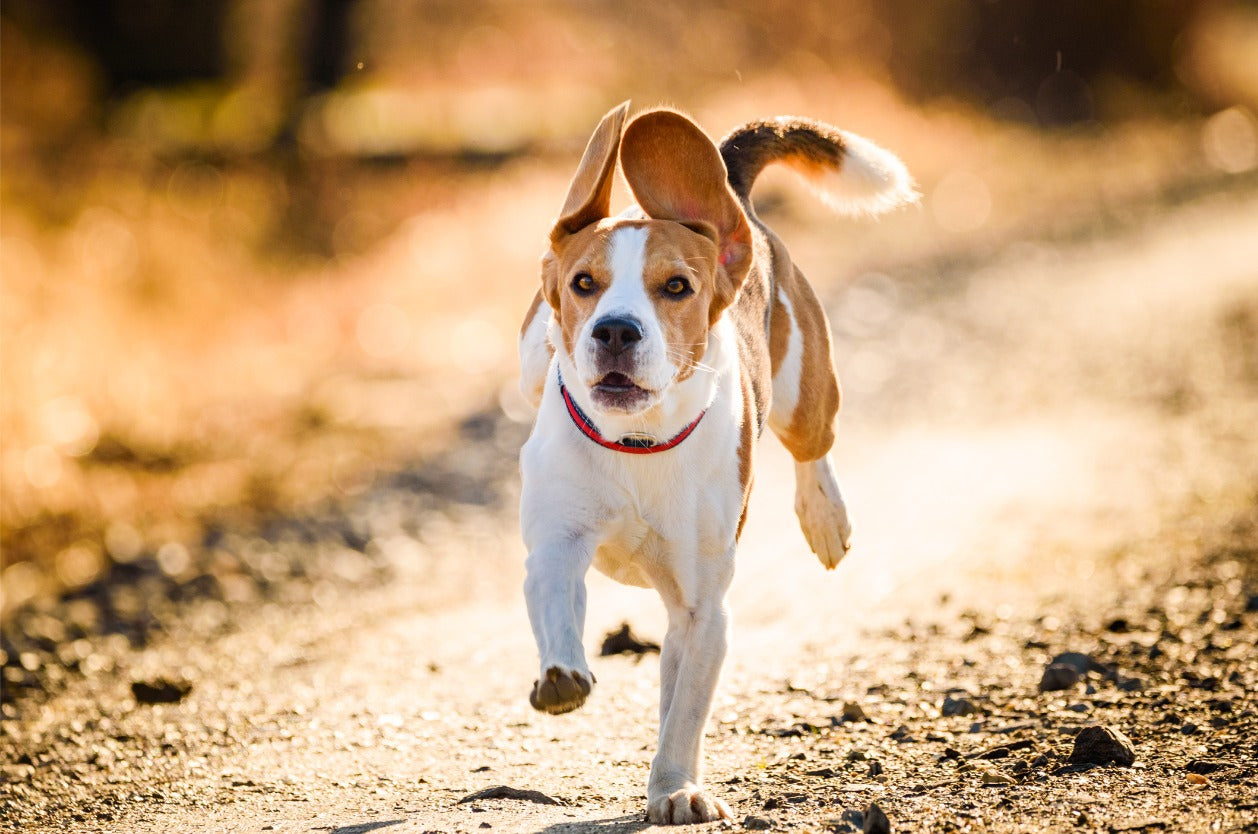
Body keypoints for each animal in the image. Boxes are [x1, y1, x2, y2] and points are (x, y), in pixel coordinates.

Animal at [515, 102, 910, 820]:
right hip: (532, 360)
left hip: (803, 388)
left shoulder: (703, 609)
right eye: (584, 284)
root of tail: (732, 193)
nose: (615, 329)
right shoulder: (557, 543)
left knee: (813, 446)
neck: (637, 443)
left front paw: (675, 790)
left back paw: (825, 516)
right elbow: (557, 602)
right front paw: (562, 676)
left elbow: (685, 712)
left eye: (677, 287)